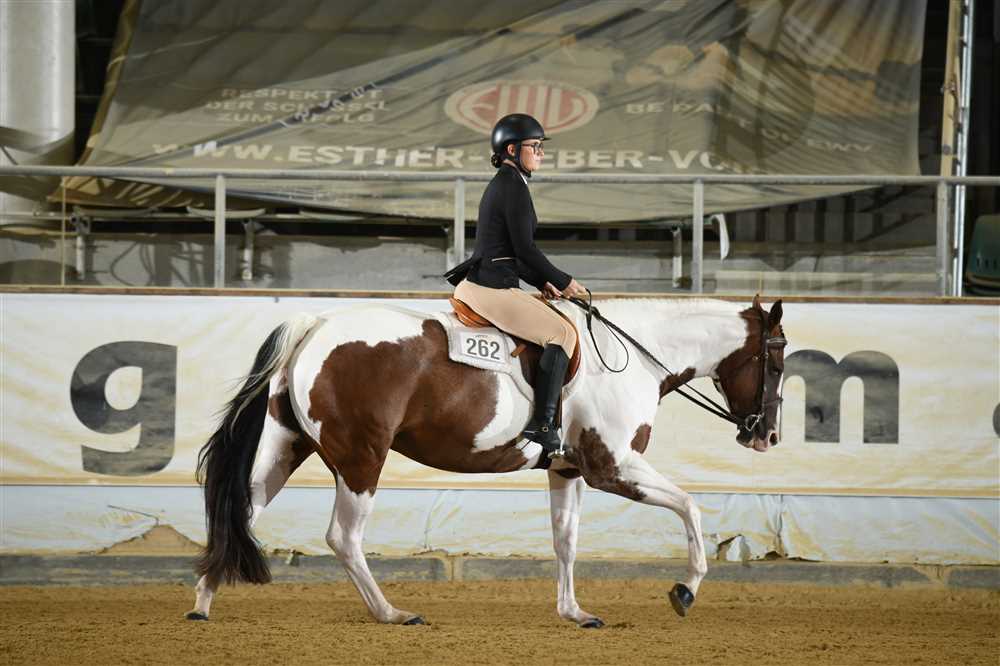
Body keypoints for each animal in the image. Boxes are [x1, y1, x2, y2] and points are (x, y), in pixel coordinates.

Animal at [185, 295, 786, 627]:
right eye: (777, 363)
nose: (768, 436)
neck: (631, 356)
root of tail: (316, 325)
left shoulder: (568, 470)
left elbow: (565, 542)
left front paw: (574, 613)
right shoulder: (612, 467)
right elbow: (691, 508)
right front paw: (685, 591)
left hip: (286, 448)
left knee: (239, 513)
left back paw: (203, 604)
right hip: (361, 457)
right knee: (343, 537)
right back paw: (392, 613)